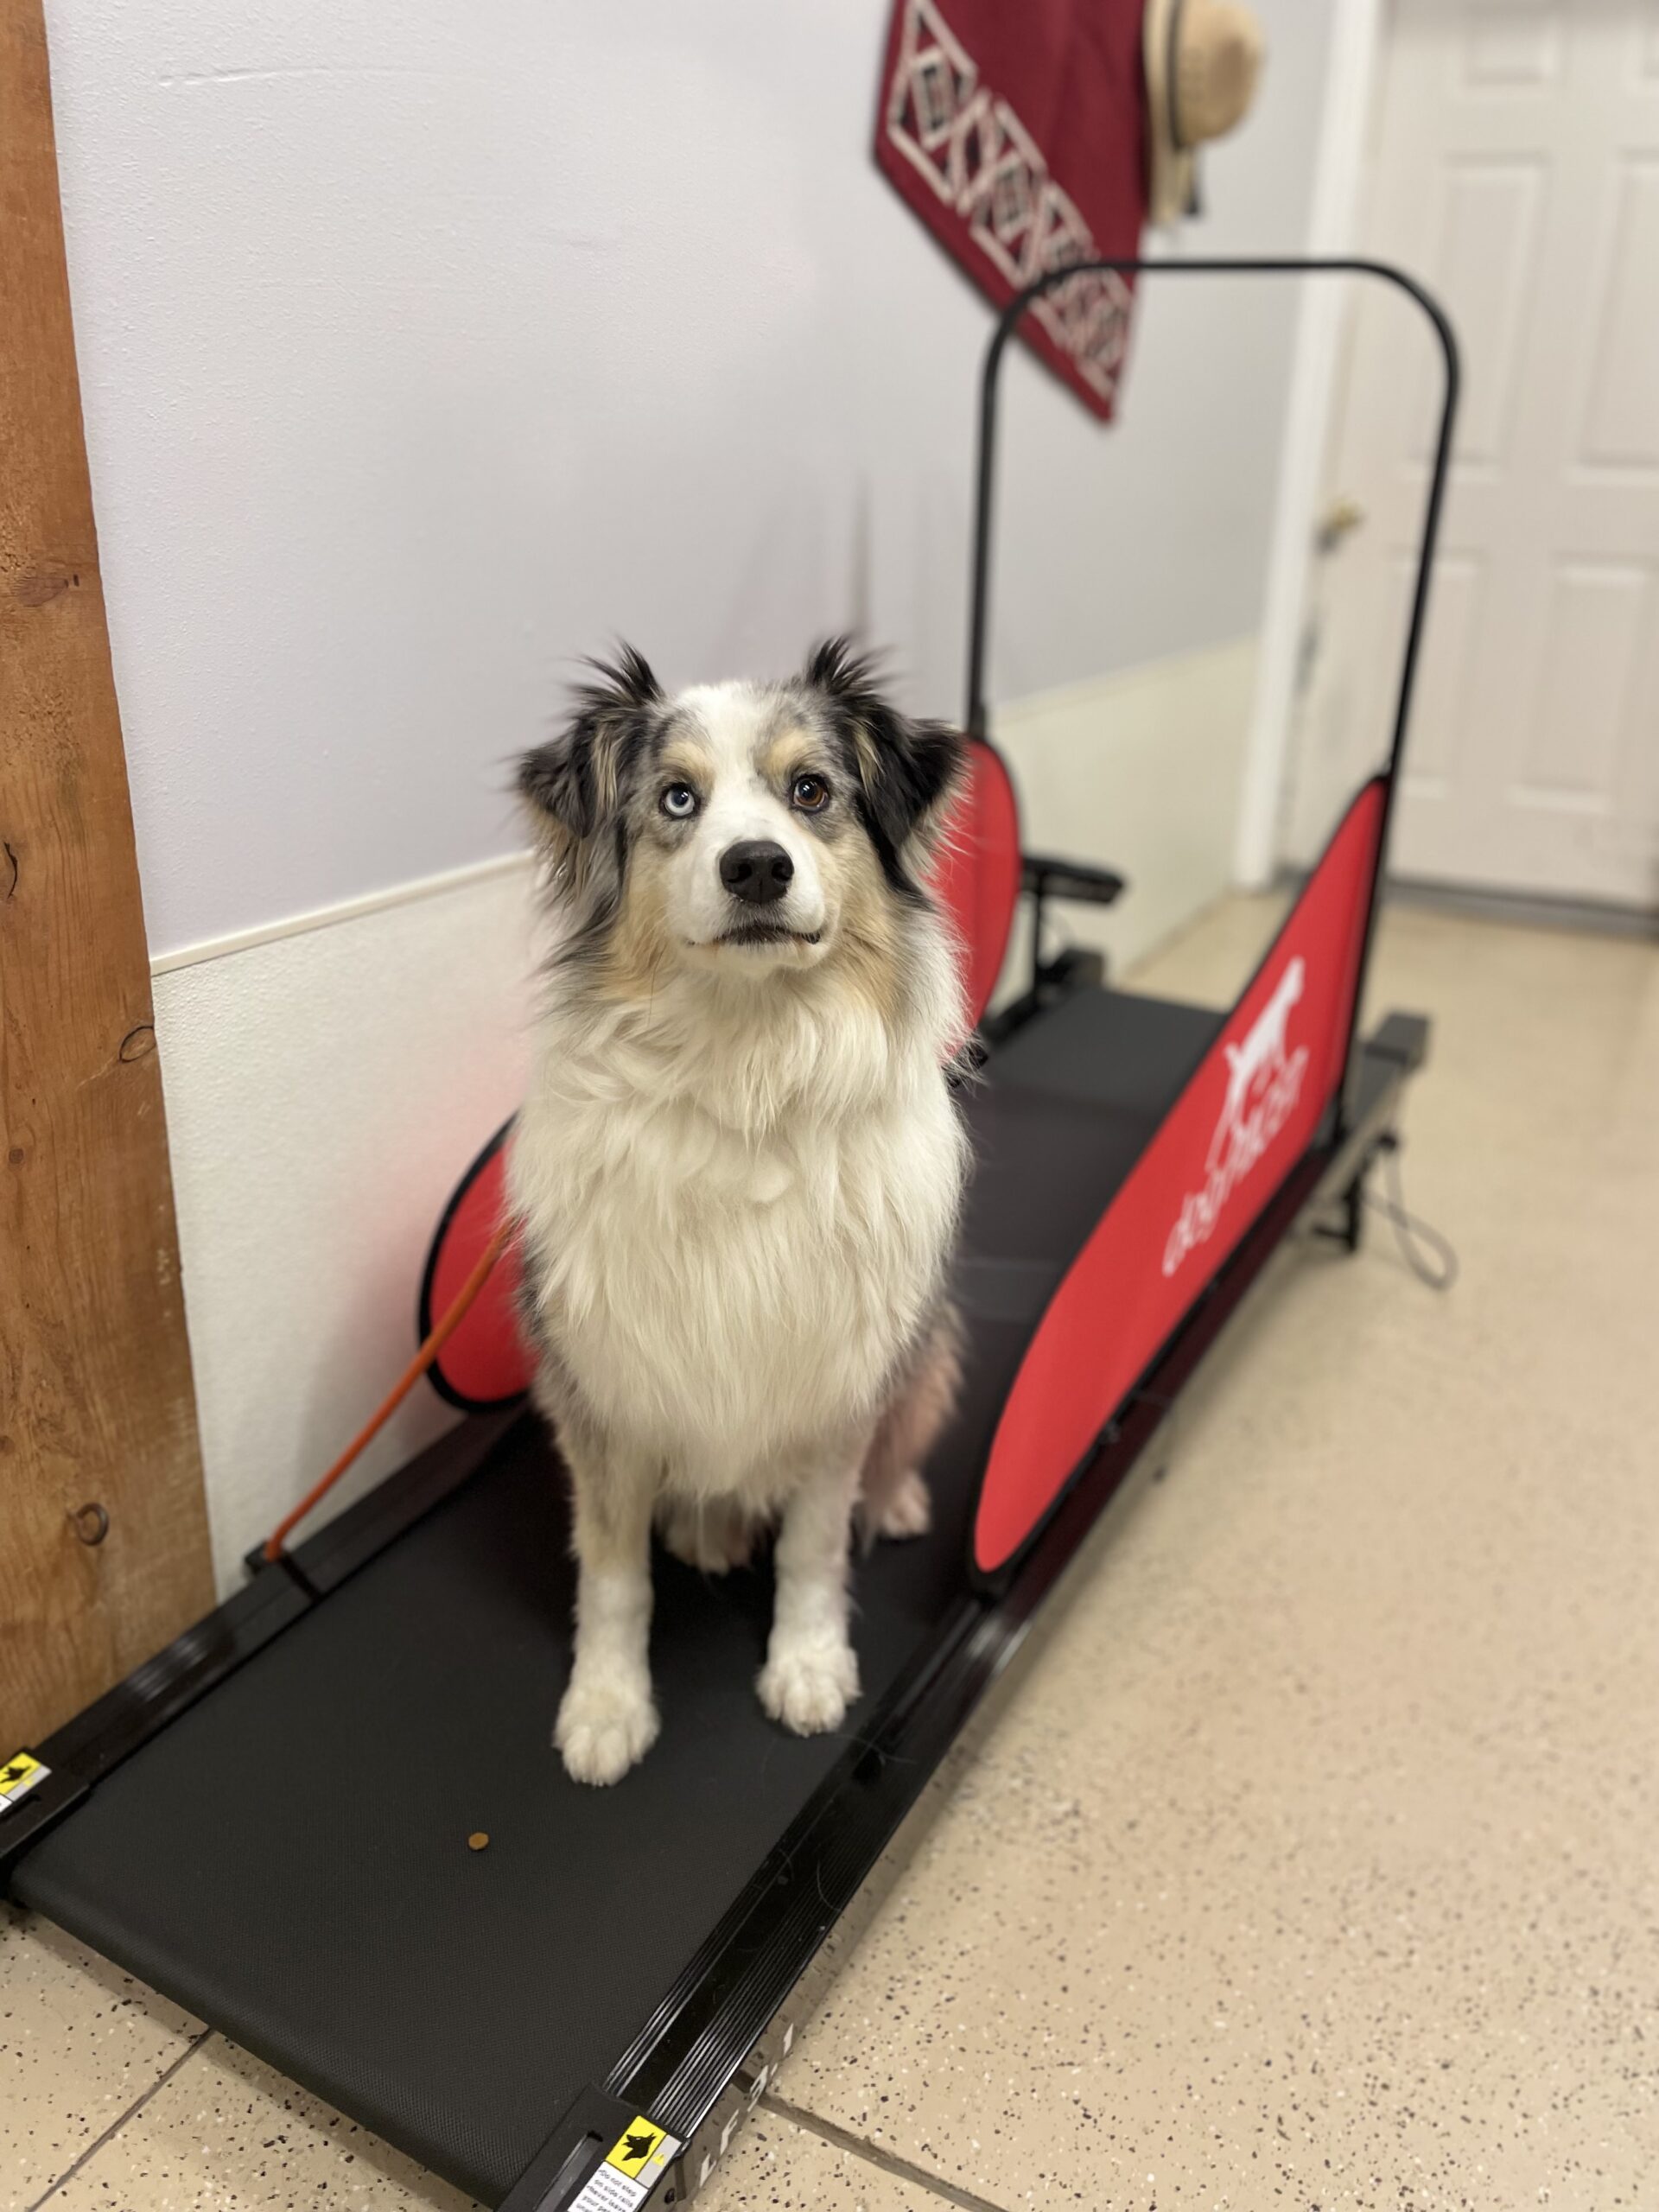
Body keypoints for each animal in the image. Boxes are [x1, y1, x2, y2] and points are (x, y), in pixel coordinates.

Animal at [511, 641, 973, 1778]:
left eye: (811, 791)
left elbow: (811, 1547)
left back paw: (896, 1500)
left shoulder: (838, 1379)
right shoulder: (602, 1392)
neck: (748, 1067)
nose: (757, 865)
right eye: (678, 799)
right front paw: (606, 1706)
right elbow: (614, 1578)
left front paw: (806, 1667)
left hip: (930, 1341)